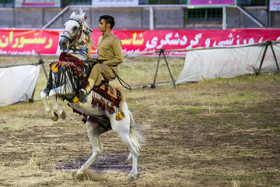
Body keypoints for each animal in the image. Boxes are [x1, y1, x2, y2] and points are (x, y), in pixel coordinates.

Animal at [41, 9, 144, 180]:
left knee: (134, 150)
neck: (74, 61)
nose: (62, 43)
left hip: (120, 131)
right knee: (98, 150)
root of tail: (126, 111)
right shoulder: (52, 84)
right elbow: (44, 94)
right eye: (65, 24)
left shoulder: (69, 88)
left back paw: (132, 174)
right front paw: (53, 114)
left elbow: (53, 94)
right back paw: (80, 172)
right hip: (93, 127)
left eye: (75, 27)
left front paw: (60, 113)